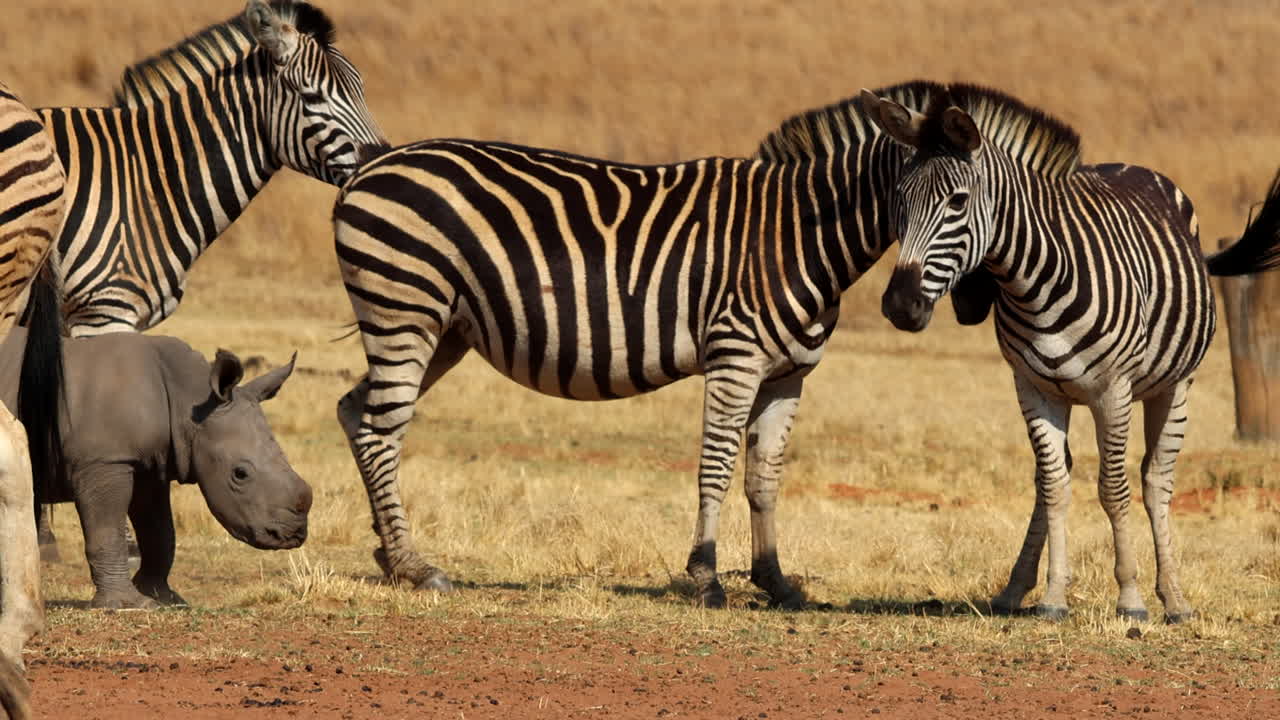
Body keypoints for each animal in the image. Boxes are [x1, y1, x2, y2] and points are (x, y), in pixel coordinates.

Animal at [0, 330, 312, 609]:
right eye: (240, 474)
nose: (293, 535)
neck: (190, 403)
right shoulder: (104, 461)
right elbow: (107, 531)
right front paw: (128, 605)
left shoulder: (150, 466)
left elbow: (160, 533)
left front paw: (166, 600)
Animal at [325, 81, 977, 607]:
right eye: (900, 200)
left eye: (958, 203)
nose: (904, 308)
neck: (797, 231)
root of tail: (369, 167)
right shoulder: (736, 358)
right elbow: (716, 467)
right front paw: (706, 578)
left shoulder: (787, 375)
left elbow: (763, 477)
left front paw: (775, 582)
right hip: (405, 308)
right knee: (382, 430)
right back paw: (415, 566)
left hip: (442, 329)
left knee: (355, 410)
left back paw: (390, 555)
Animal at [863, 83, 1279, 622]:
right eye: (899, 199)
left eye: (957, 202)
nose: (900, 304)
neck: (1033, 282)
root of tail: (1132, 165)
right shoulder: (1032, 388)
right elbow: (1056, 487)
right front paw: (1054, 596)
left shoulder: (1113, 390)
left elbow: (1114, 488)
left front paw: (1130, 599)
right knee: (1053, 480)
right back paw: (1017, 588)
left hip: (1174, 387)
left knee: (1155, 481)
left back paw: (1174, 598)